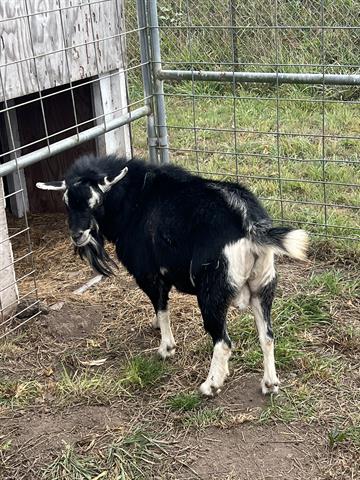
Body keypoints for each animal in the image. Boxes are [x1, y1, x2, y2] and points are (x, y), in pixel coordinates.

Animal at [36, 156, 308, 396]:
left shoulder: (148, 274)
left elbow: (161, 305)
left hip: (212, 292)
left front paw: (166, 347)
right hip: (263, 286)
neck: (135, 200)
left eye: (97, 202)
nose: (77, 234)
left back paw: (210, 386)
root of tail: (248, 224)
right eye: (66, 203)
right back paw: (270, 384)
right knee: (267, 336)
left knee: (222, 341)